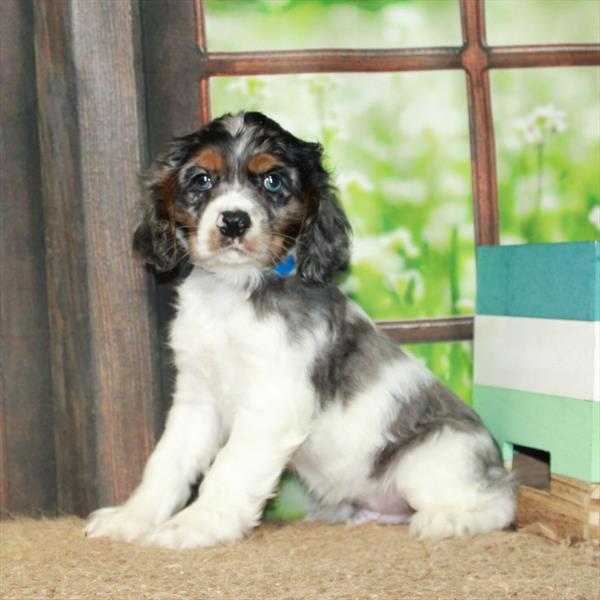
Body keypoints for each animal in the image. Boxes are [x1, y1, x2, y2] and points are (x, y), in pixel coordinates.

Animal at [85, 109, 516, 548]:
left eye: (273, 181)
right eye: (202, 179)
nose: (233, 221)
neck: (234, 293)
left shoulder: (271, 401)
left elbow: (228, 469)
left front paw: (196, 525)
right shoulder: (196, 398)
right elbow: (166, 462)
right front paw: (130, 519)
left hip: (432, 456)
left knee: (501, 504)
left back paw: (450, 520)